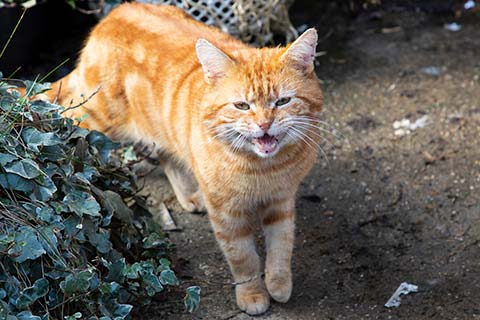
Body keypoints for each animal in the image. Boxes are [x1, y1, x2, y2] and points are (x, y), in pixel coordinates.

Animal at [45, 3, 322, 316]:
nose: (264, 124)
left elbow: (282, 245)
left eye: (283, 101)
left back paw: (189, 195)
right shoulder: (226, 214)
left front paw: (278, 283)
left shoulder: (281, 200)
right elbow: (243, 258)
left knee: (166, 155)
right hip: (95, 120)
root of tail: (112, 15)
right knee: (61, 118)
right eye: (242, 105)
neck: (264, 168)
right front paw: (252, 294)